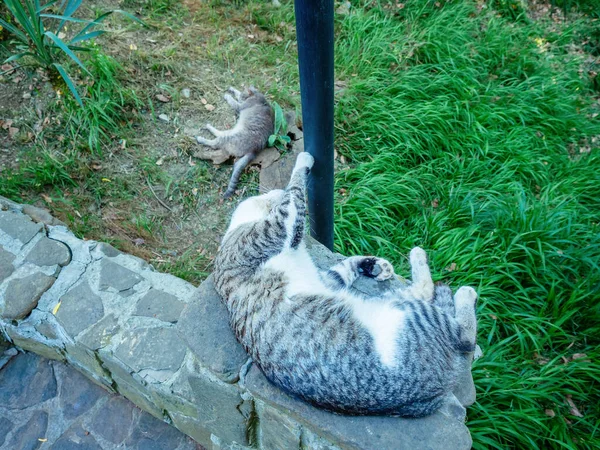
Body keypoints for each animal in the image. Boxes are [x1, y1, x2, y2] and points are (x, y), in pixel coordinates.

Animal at [213, 153, 480, 416]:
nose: (274, 190)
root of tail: (433, 394)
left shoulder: (325, 279)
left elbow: (344, 269)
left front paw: (372, 265)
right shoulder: (278, 225)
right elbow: (296, 189)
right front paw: (304, 159)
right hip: (410, 315)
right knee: (460, 331)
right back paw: (447, 280)